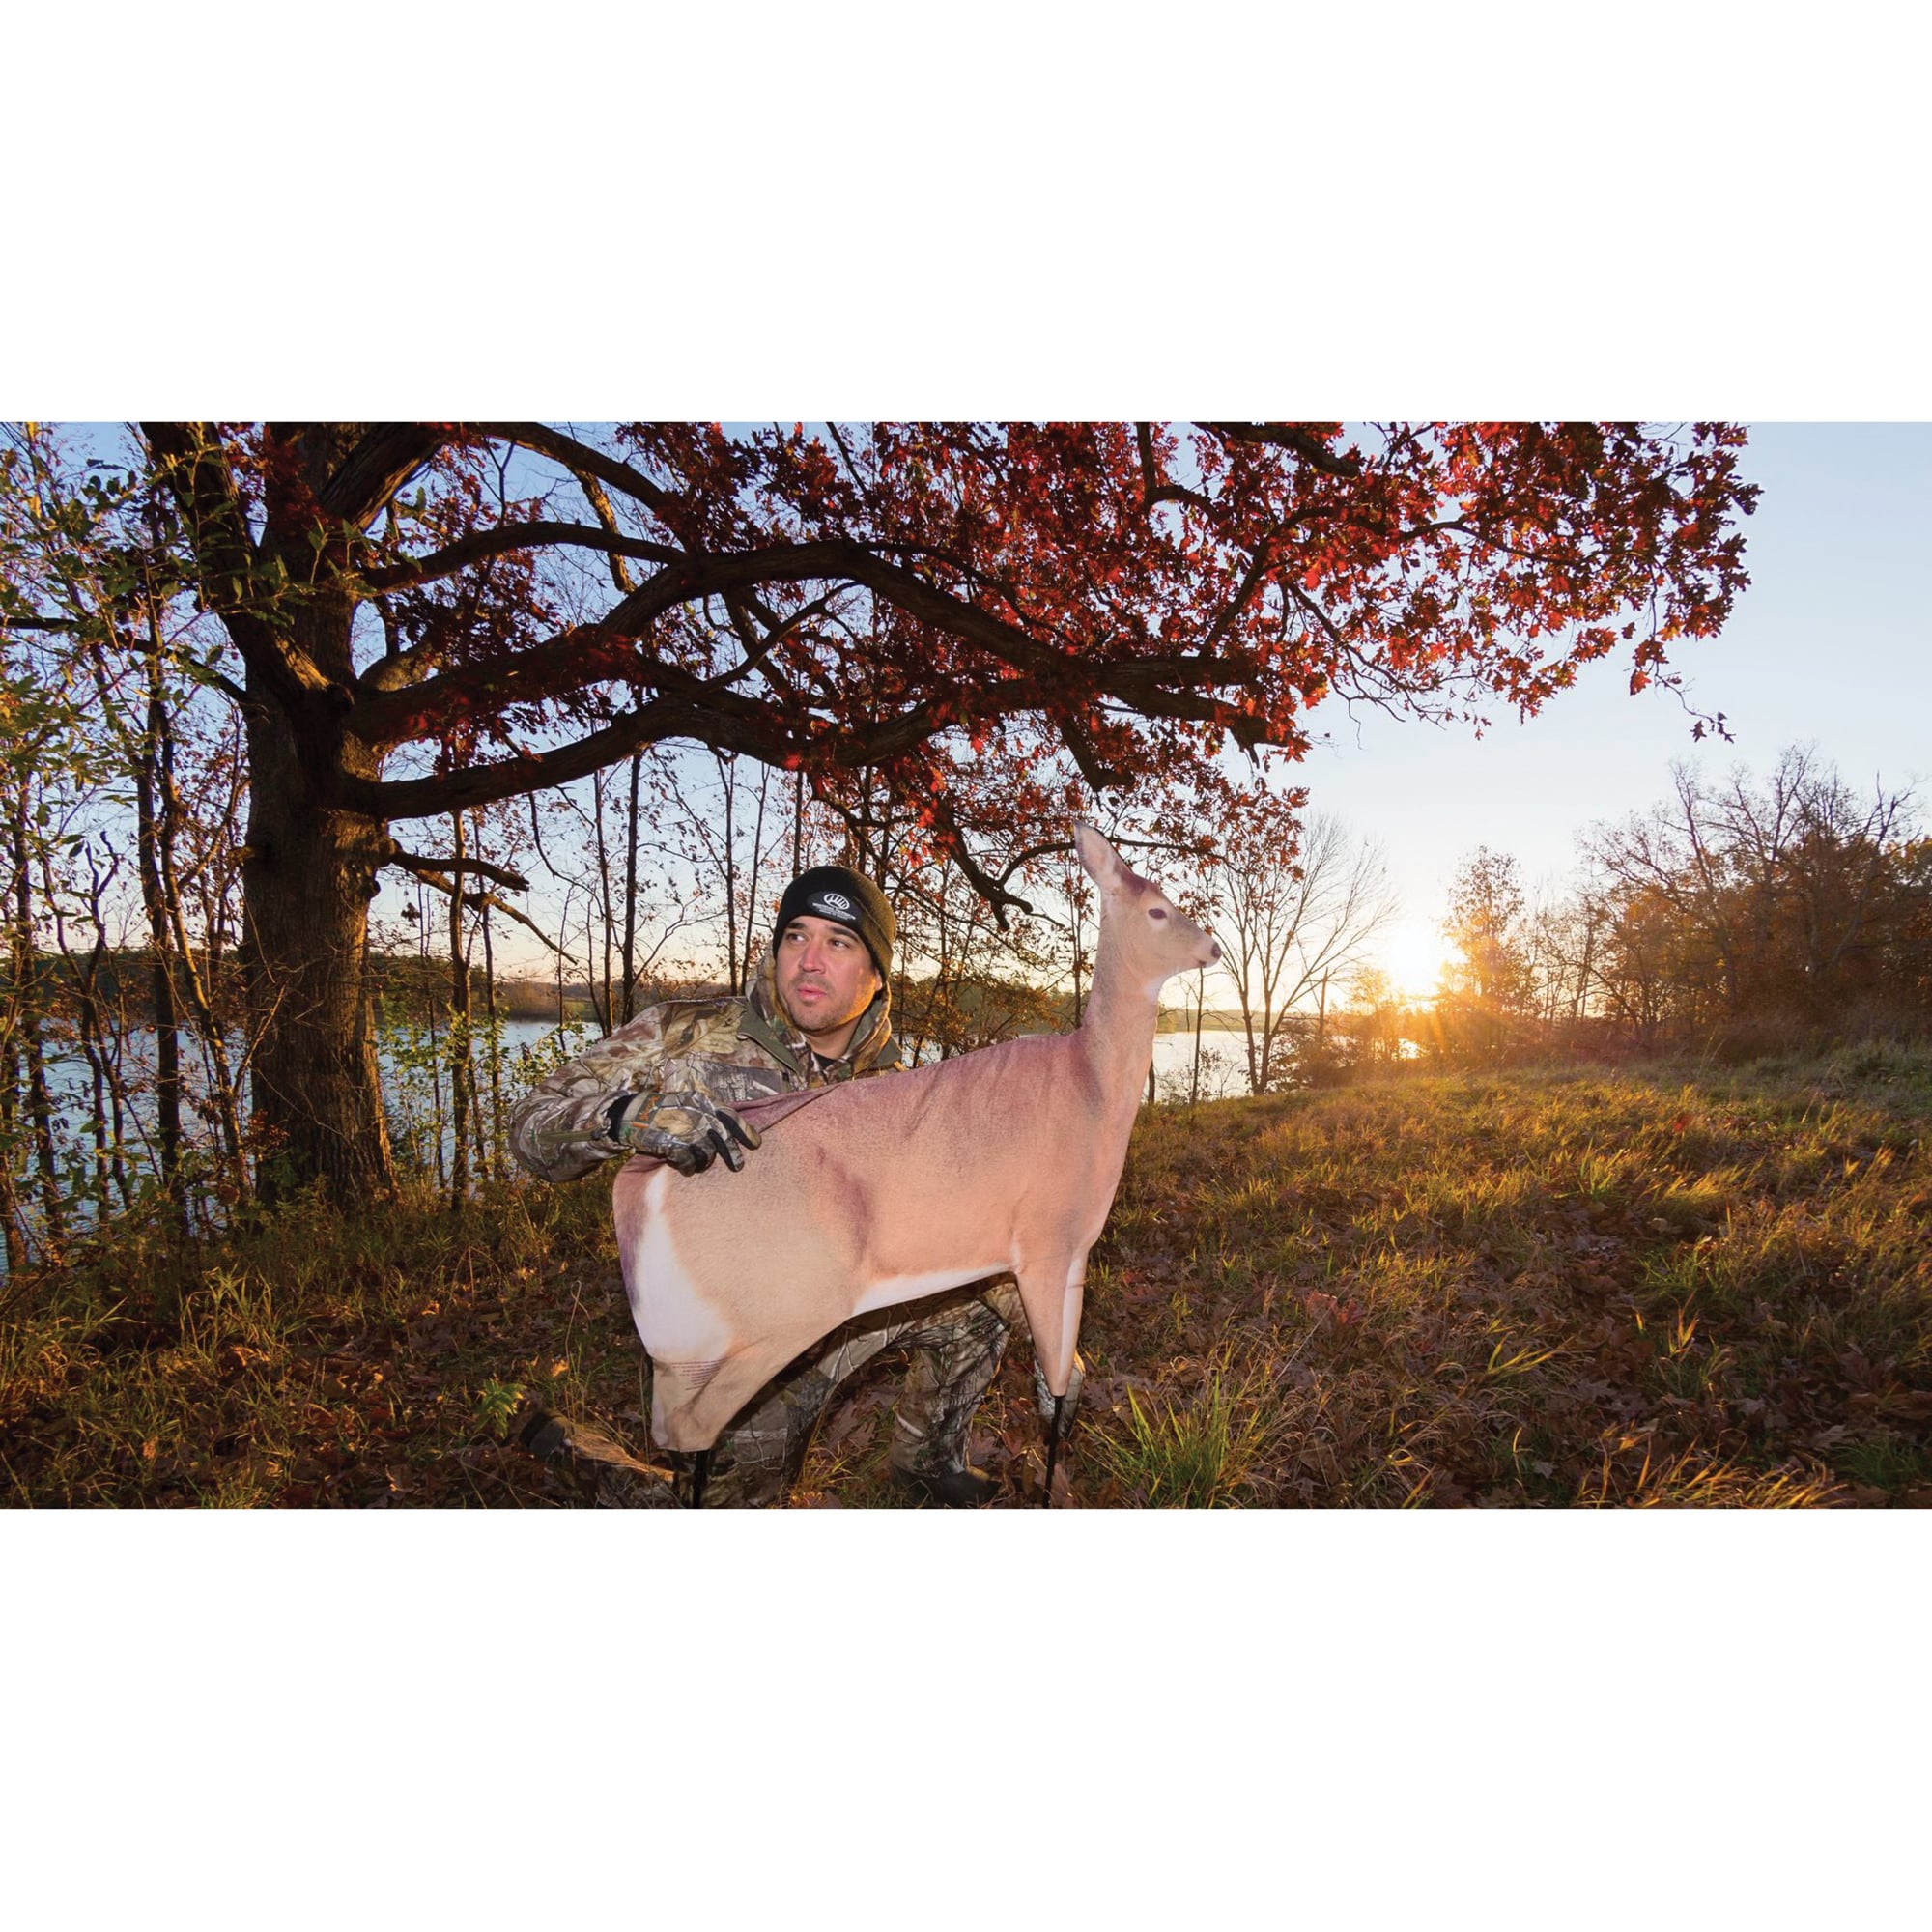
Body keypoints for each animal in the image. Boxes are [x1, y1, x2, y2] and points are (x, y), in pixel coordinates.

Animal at [610, 822, 1220, 1503]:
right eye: (1159, 910)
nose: (1215, 947)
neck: (1090, 1090)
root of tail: (642, 1190)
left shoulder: (1068, 1253)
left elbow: (1061, 1378)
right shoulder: (1043, 1241)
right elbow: (1055, 1374)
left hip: (706, 1339)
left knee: (673, 1421)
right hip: (775, 1310)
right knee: (694, 1428)